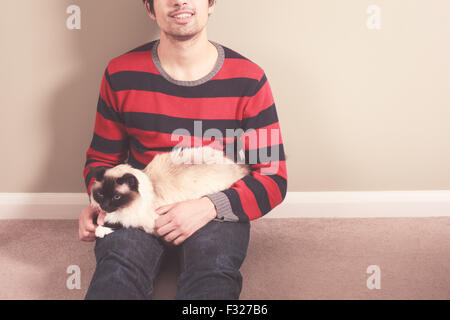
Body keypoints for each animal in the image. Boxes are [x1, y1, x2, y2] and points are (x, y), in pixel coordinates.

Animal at [88, 146, 250, 239]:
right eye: (100, 194)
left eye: (116, 197)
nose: (104, 206)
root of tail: (237, 166)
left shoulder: (145, 221)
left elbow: (118, 223)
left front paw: (100, 230)